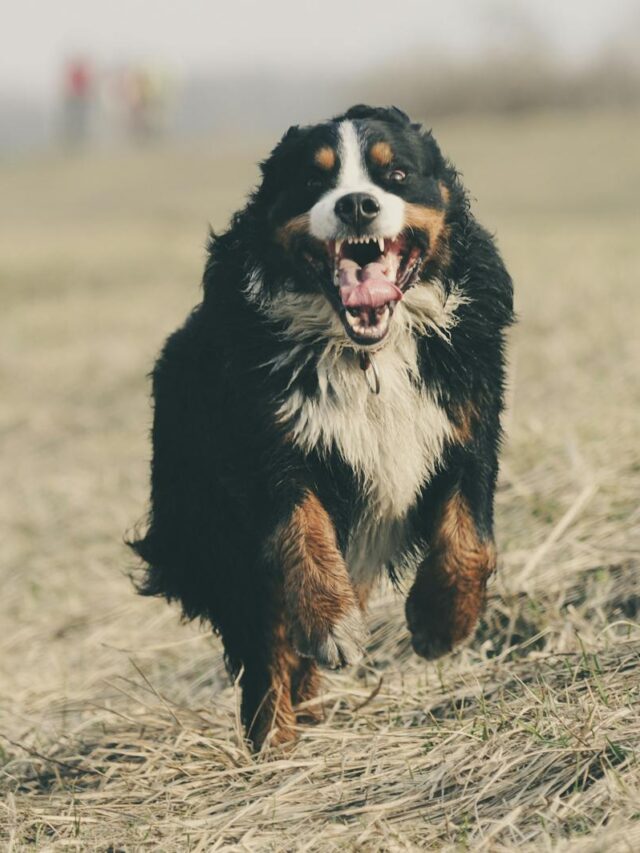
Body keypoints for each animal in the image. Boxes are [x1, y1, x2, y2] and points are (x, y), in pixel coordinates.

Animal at [129, 105, 516, 744]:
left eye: (397, 174)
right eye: (313, 180)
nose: (356, 204)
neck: (367, 356)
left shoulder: (466, 425)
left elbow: (472, 541)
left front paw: (439, 623)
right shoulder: (269, 446)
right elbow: (302, 533)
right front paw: (332, 625)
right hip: (216, 533)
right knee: (265, 646)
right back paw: (276, 740)